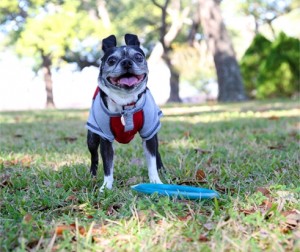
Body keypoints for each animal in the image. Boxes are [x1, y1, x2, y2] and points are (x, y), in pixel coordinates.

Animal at [85, 33, 164, 191]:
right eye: (111, 60)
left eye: (138, 57)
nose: (127, 62)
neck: (125, 104)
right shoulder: (105, 139)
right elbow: (108, 166)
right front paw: (106, 187)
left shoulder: (149, 133)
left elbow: (151, 160)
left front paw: (156, 182)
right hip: (92, 138)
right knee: (94, 156)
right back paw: (92, 176)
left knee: (157, 153)